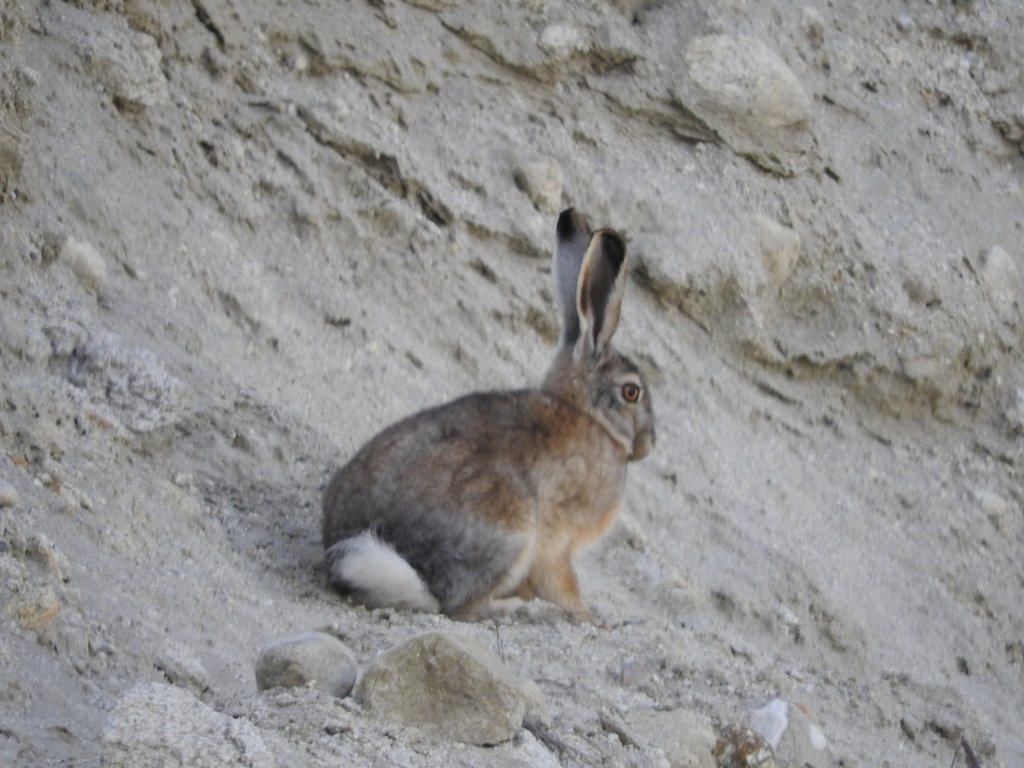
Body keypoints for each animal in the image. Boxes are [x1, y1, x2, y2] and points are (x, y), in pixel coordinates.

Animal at [321, 208, 655, 623]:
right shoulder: (556, 539)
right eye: (631, 392)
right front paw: (589, 619)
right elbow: (562, 581)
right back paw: (521, 608)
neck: (590, 417)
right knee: (459, 606)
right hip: (507, 523)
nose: (649, 442)